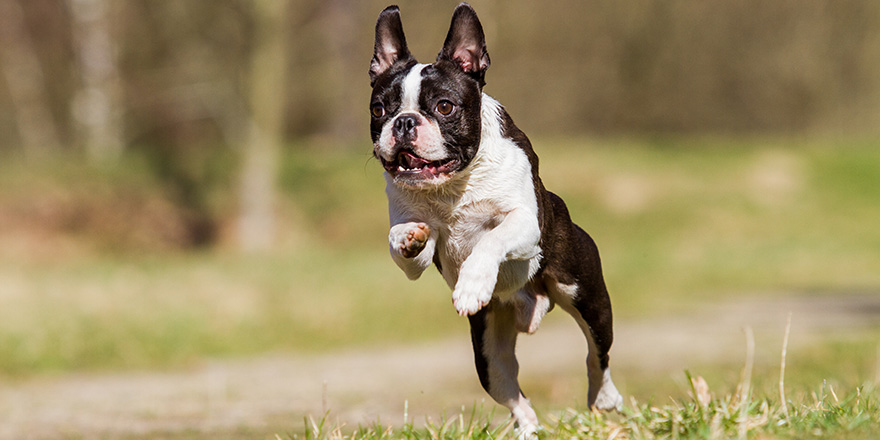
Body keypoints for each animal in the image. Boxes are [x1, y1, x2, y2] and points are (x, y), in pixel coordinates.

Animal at [368, 3, 624, 434]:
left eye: (445, 107)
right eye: (378, 109)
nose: (403, 122)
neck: (453, 185)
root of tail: (530, 308)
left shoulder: (524, 223)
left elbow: (490, 239)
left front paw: (473, 284)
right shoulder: (416, 248)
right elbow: (401, 242)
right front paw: (408, 238)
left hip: (586, 296)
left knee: (597, 356)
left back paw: (603, 399)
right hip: (488, 353)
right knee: (516, 396)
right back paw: (530, 431)